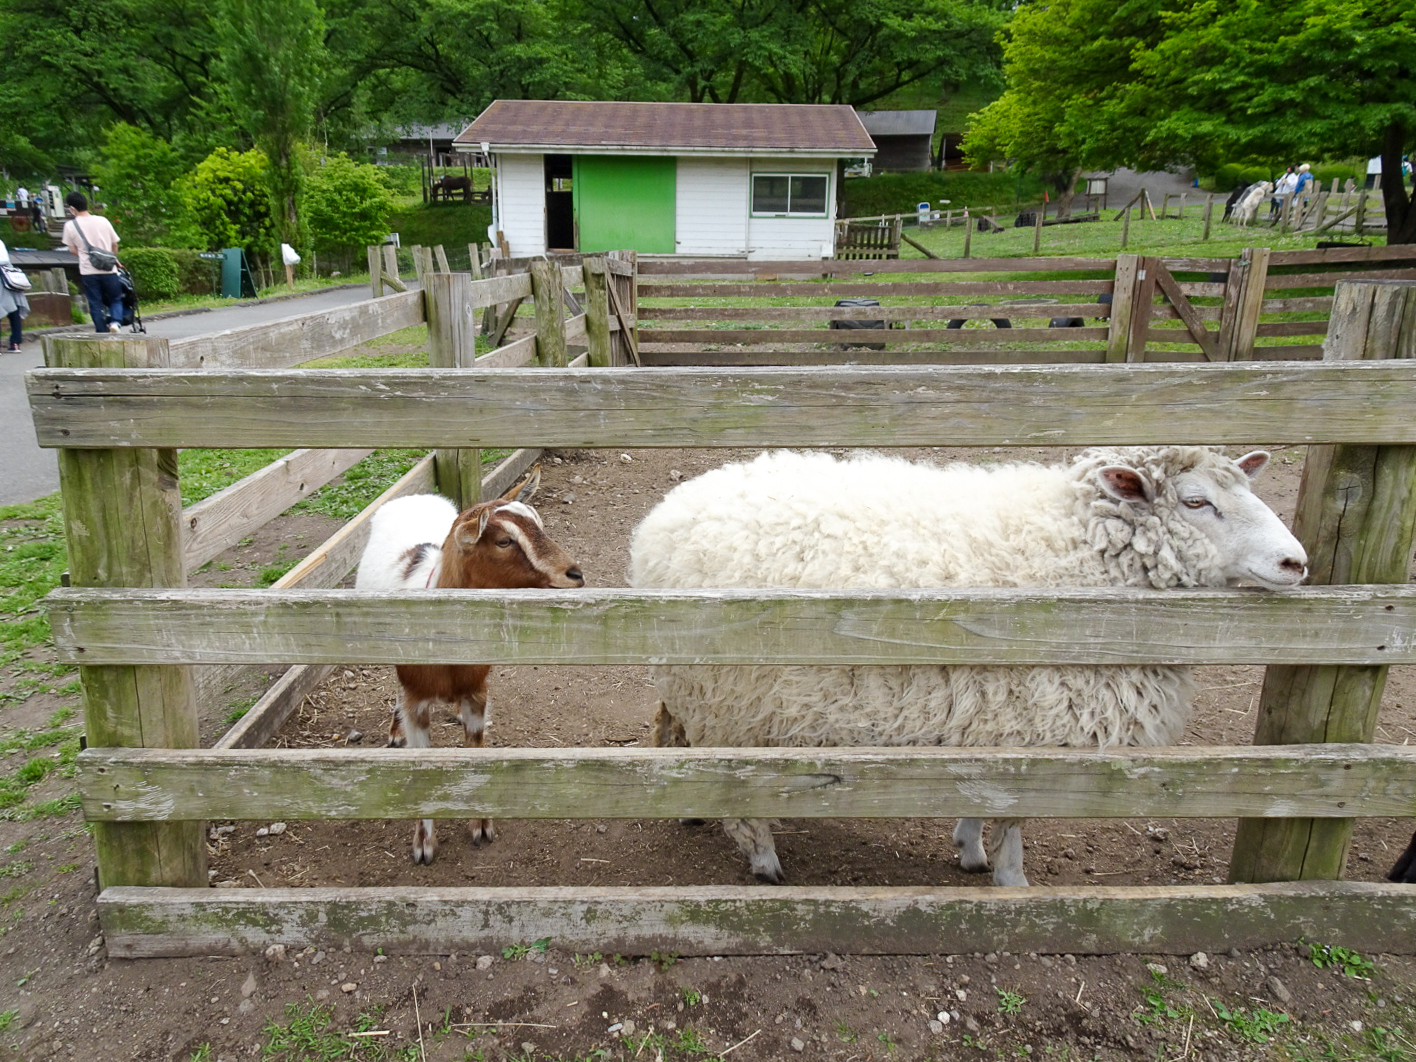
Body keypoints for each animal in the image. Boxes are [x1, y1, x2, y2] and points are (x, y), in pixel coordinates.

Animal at [356, 472, 583, 866]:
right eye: (504, 540)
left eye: (540, 525)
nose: (574, 574)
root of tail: (413, 495)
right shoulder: (416, 698)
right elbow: (422, 764)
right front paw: (424, 845)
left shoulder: (478, 692)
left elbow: (476, 754)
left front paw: (481, 825)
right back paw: (395, 731)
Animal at [631, 444, 1302, 883]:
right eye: (1197, 502)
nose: (1295, 562)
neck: (1079, 557)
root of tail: (660, 520)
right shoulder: (1038, 728)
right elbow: (1015, 824)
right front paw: (1011, 880)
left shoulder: (996, 722)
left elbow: (985, 800)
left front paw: (970, 847)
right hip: (730, 699)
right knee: (735, 786)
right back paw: (764, 860)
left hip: (696, 686)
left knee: (671, 726)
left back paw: (689, 807)